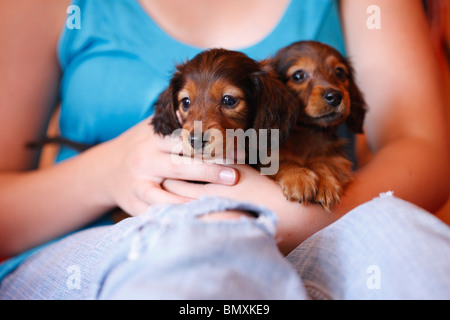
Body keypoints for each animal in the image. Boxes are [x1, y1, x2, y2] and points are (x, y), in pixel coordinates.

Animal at [268, 40, 368, 210]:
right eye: (298, 76)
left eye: (340, 72)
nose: (335, 96)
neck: (307, 132)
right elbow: (283, 161)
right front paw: (298, 177)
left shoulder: (337, 158)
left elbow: (324, 161)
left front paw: (325, 182)